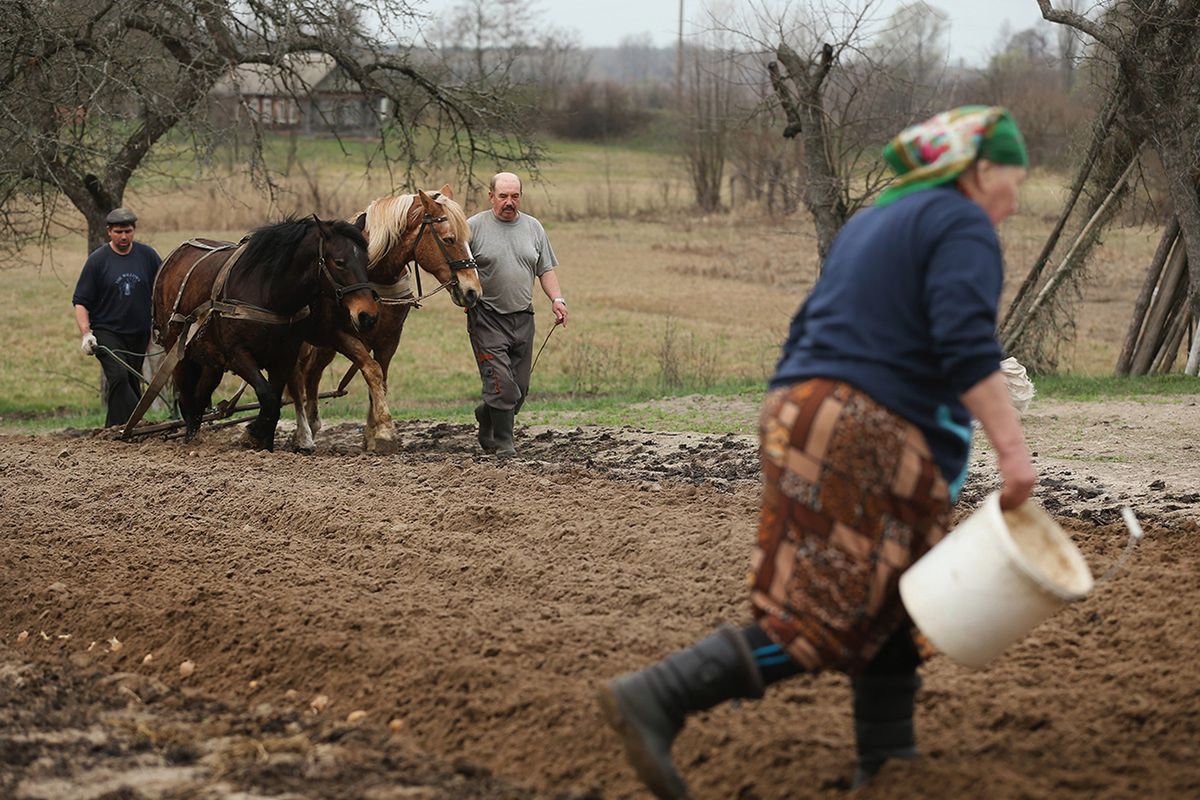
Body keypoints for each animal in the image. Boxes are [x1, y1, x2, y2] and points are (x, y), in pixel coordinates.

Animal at [154, 215, 376, 450]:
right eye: (339, 262)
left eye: (366, 261)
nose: (367, 315)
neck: (267, 292)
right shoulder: (238, 355)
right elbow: (267, 397)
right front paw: (252, 433)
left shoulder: (284, 357)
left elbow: (275, 399)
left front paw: (265, 444)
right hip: (178, 351)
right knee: (186, 397)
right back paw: (190, 439)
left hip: (210, 360)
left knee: (200, 396)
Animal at [292, 184, 480, 453]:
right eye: (449, 239)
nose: (473, 291)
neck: (372, 275)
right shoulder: (339, 335)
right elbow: (372, 371)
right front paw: (385, 430)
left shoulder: (388, 337)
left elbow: (381, 378)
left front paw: (372, 435)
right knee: (296, 376)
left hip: (323, 347)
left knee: (312, 373)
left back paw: (312, 424)